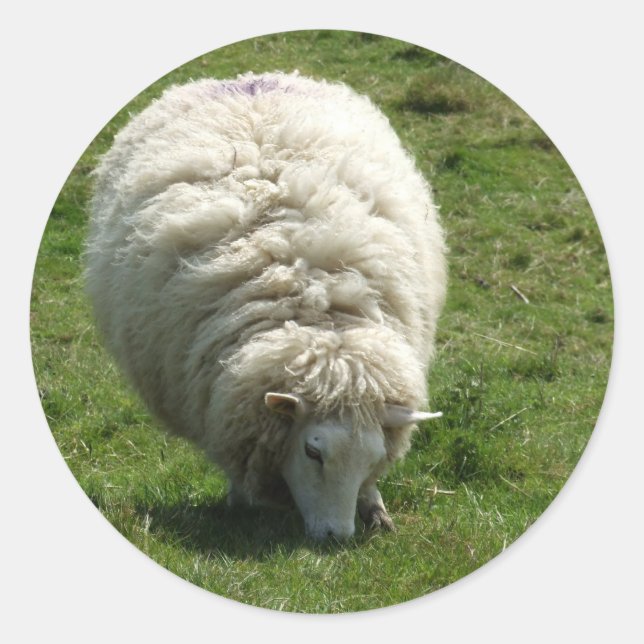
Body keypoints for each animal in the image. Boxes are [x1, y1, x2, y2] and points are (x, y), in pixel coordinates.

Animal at [85, 71, 447, 540]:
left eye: (371, 458)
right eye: (313, 453)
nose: (336, 537)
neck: (318, 317)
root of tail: (246, 79)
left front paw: (375, 508)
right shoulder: (222, 403)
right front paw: (241, 503)